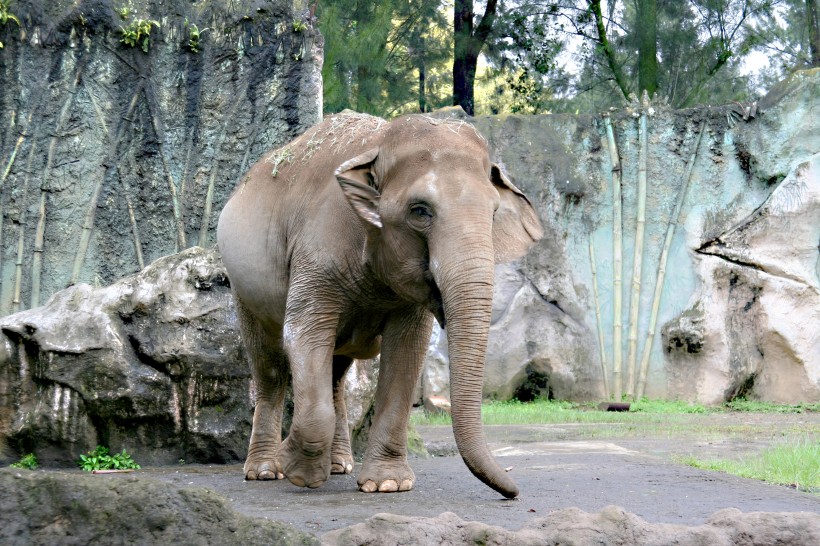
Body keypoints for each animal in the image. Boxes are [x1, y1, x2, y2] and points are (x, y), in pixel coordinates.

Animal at [215, 111, 540, 498]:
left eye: (492, 215)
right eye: (420, 211)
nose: (514, 491)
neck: (380, 143)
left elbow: (407, 351)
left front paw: (387, 484)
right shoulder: (316, 251)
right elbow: (304, 334)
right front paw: (299, 472)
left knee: (335, 373)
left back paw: (339, 465)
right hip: (243, 287)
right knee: (269, 366)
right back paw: (265, 471)